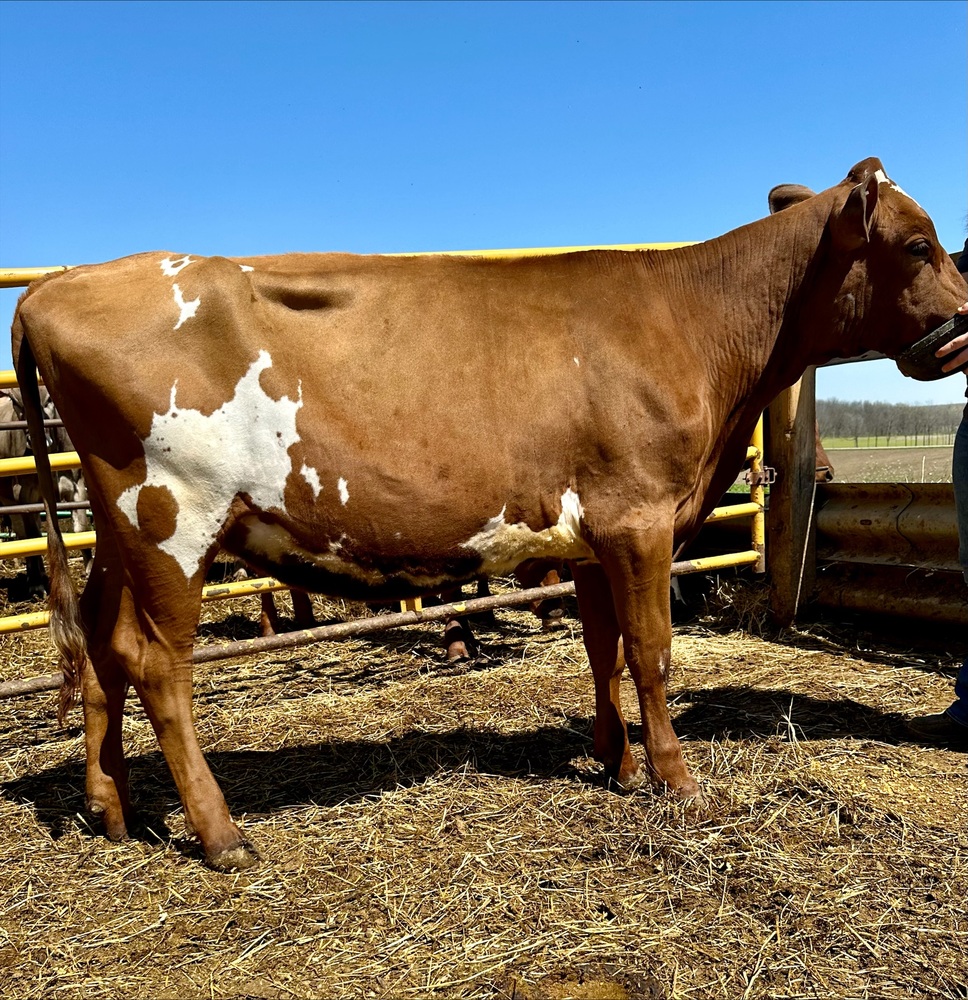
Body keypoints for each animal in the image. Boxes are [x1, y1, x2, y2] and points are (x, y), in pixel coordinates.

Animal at [12, 157, 968, 871]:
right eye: (919, 244)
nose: (964, 327)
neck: (693, 323)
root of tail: (52, 290)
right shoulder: (641, 519)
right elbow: (652, 652)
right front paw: (676, 779)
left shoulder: (592, 536)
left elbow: (603, 650)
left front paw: (617, 763)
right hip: (175, 516)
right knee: (156, 664)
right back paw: (220, 834)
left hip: (118, 530)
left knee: (100, 647)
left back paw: (109, 807)